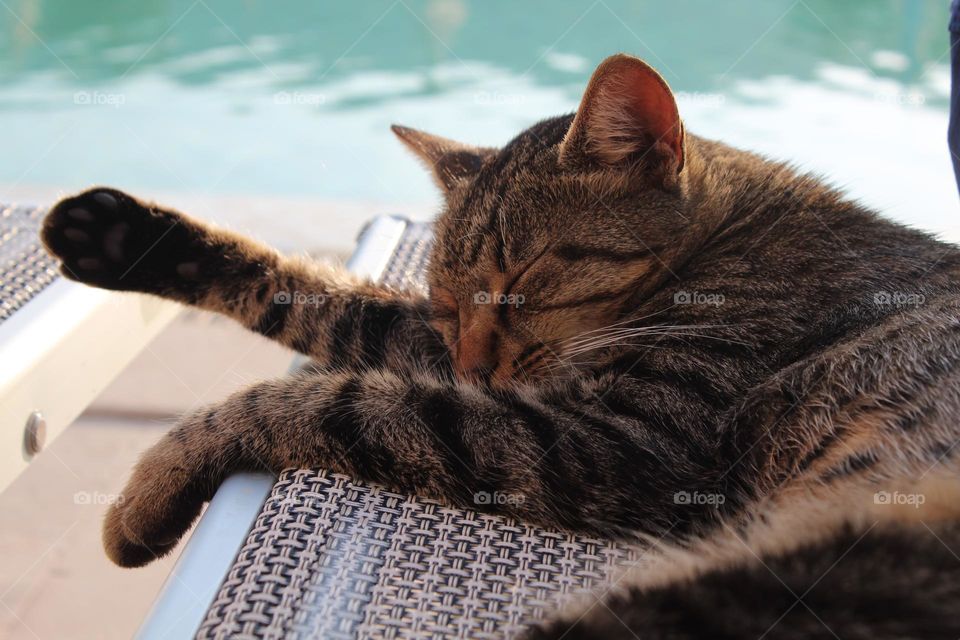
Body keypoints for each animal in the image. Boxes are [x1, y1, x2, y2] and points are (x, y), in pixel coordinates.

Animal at [41, 53, 960, 636]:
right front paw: (128, 237)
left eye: (522, 280)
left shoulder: (632, 441)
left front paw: (148, 492)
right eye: (449, 304)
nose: (475, 364)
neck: (725, 241)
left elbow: (315, 400)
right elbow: (325, 303)